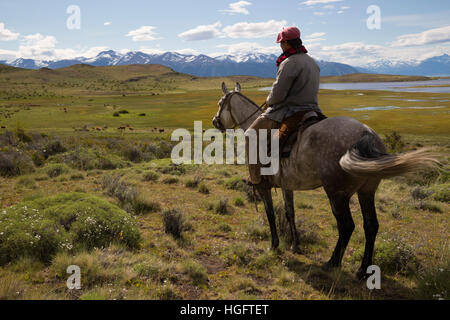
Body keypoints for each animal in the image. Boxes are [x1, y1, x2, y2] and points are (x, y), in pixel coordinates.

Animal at [213, 82, 438, 280]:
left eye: (220, 103)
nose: (215, 122)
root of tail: (366, 134)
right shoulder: (287, 185)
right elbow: (289, 212)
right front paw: (295, 245)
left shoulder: (262, 186)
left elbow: (270, 214)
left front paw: (274, 245)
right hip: (366, 191)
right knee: (371, 225)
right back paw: (362, 270)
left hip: (336, 194)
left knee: (347, 226)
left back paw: (332, 263)